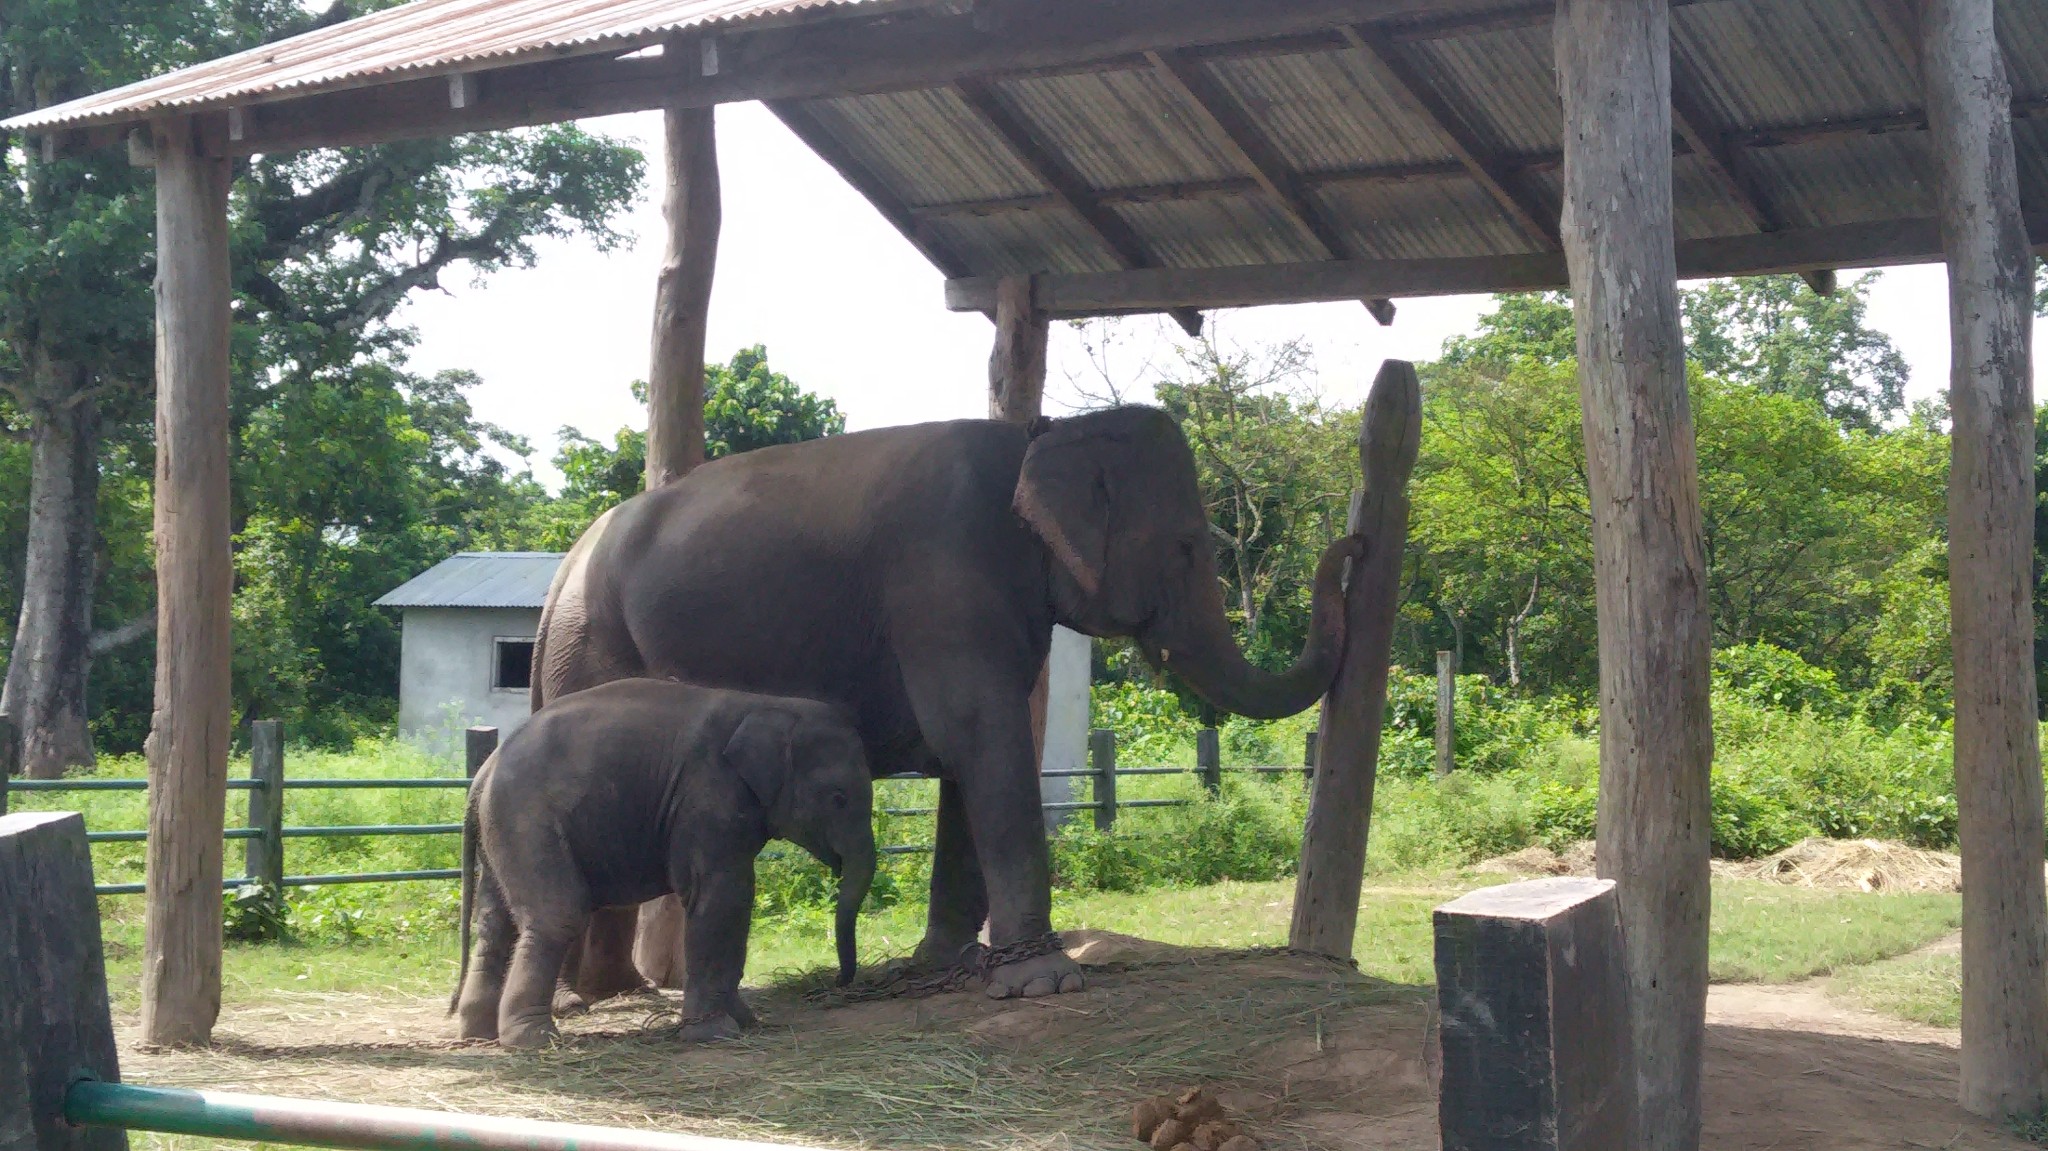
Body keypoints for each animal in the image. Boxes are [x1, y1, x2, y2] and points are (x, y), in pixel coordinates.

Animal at [448, 675, 872, 1044]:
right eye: (838, 798)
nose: (838, 982)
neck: (770, 704)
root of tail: (483, 772)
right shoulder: (707, 794)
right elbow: (722, 897)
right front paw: (714, 1033)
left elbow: (732, 904)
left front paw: (746, 1022)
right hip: (528, 822)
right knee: (557, 915)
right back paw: (533, 1040)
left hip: (500, 832)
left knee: (495, 922)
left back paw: (479, 1034)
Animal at [540, 403, 1359, 995]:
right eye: (1188, 546)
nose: (1354, 546)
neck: (1042, 435)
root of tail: (564, 569)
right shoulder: (945, 570)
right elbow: (979, 732)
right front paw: (1044, 982)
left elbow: (973, 752)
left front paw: (943, 964)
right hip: (595, 648)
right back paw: (598, 997)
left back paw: (606, 993)